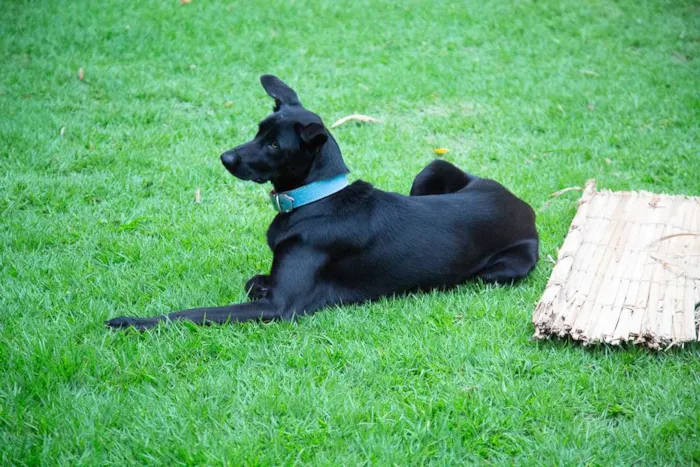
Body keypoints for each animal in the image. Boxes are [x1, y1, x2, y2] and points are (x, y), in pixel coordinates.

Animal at [105, 76, 540, 332]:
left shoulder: (281, 307)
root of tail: (525, 207)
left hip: (500, 270)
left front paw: (132, 320)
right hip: (431, 169)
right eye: (258, 131)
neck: (314, 200)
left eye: (275, 145)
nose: (225, 158)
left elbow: (193, 313)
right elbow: (253, 281)